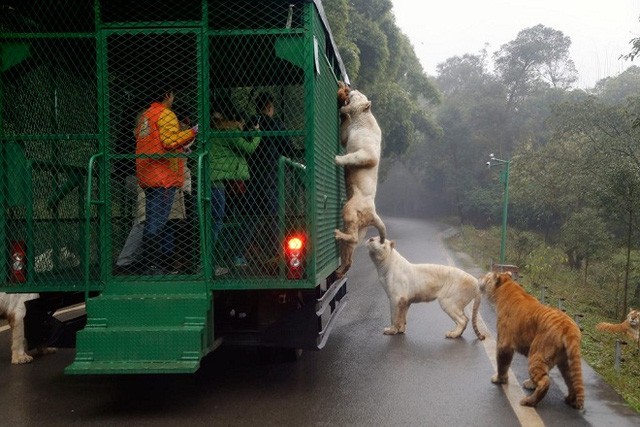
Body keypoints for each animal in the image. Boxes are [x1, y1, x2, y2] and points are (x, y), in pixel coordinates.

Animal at [480, 272, 584, 410]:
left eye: (487, 276)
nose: (480, 277)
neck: (507, 287)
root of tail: (569, 328)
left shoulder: (504, 343)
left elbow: (502, 363)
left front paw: (499, 379)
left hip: (537, 353)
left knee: (545, 381)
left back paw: (528, 401)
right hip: (565, 360)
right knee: (571, 380)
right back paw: (570, 400)